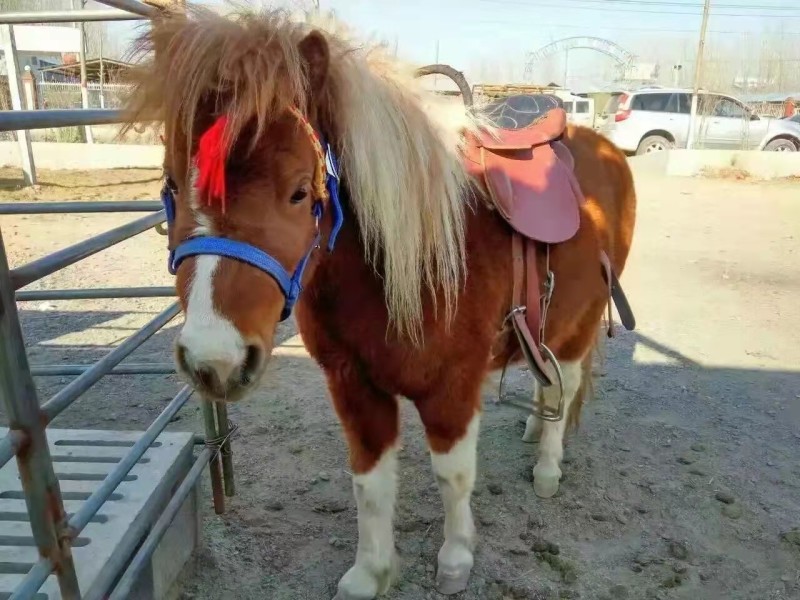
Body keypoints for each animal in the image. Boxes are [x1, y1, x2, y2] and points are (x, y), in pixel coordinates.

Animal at [123, 7, 636, 599]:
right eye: (171, 184)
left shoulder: (452, 388)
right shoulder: (353, 386)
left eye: (300, 191)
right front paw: (371, 572)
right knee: (545, 380)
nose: (214, 360)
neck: (400, 262)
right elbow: (369, 484)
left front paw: (456, 558)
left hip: (579, 325)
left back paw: (548, 465)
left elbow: (453, 475)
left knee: (565, 384)